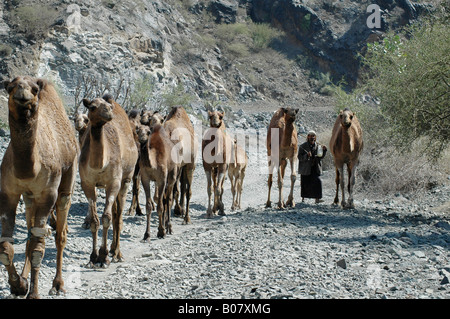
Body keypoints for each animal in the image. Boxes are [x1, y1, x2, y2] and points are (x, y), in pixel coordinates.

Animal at [0, 77, 79, 300]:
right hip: (29, 198)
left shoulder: (47, 194)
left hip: (67, 179)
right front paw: (18, 285)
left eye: (34, 89)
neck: (29, 169)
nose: (23, 95)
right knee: (29, 233)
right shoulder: (8, 192)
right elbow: (6, 248)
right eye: (11, 86)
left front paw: (33, 293)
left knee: (60, 235)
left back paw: (58, 284)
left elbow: (38, 248)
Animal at [79, 94, 138, 268]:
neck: (100, 164)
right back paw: (112, 249)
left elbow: (107, 218)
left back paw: (117, 253)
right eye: (92, 107)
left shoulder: (114, 182)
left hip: (126, 179)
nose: (108, 112)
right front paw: (93, 257)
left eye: (109, 107)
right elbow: (95, 220)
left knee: (118, 216)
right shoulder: (88, 184)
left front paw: (103, 257)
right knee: (115, 212)